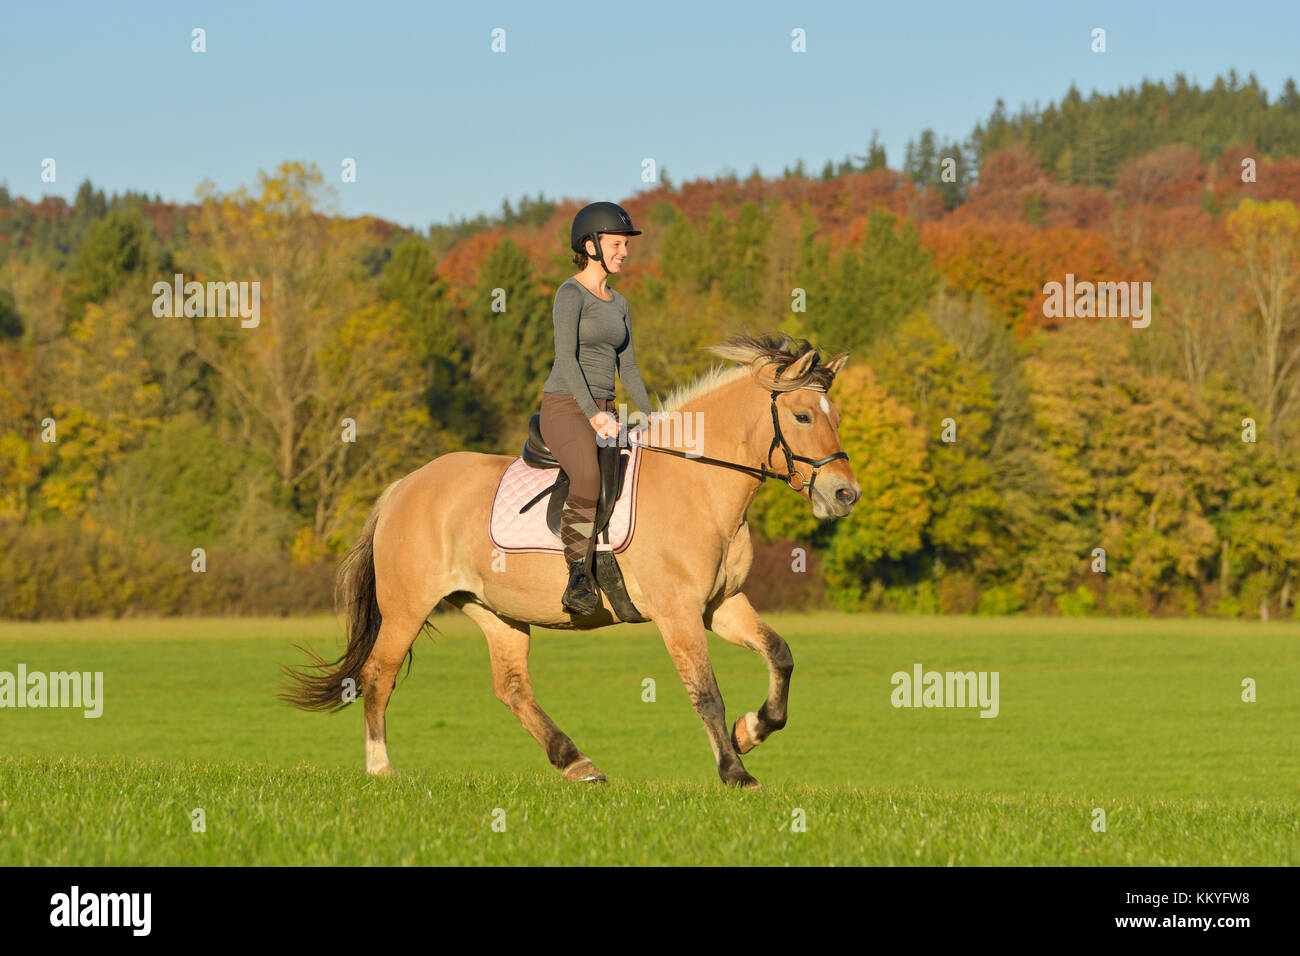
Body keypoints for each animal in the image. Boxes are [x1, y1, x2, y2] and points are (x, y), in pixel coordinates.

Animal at [280, 333, 861, 789]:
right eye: (803, 415)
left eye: (835, 416)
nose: (844, 494)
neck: (697, 484)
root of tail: (405, 485)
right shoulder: (678, 613)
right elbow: (706, 694)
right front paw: (736, 772)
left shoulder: (721, 604)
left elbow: (780, 655)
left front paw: (751, 730)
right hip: (408, 606)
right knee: (378, 675)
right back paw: (380, 768)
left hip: (497, 611)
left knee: (511, 687)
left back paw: (576, 763)